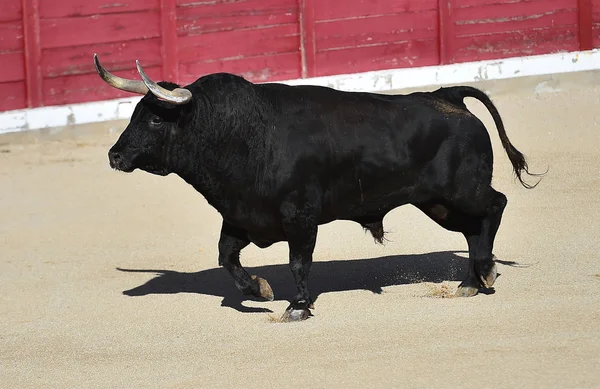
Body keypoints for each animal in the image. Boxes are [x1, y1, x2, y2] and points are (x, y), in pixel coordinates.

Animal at [96, 55, 540, 322]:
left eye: (155, 119)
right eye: (134, 114)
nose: (115, 156)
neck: (244, 135)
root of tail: (448, 95)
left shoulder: (300, 217)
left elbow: (298, 262)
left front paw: (296, 307)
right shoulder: (242, 216)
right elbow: (226, 257)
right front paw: (260, 290)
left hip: (462, 191)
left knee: (495, 207)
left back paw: (483, 274)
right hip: (438, 203)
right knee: (472, 229)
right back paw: (471, 282)